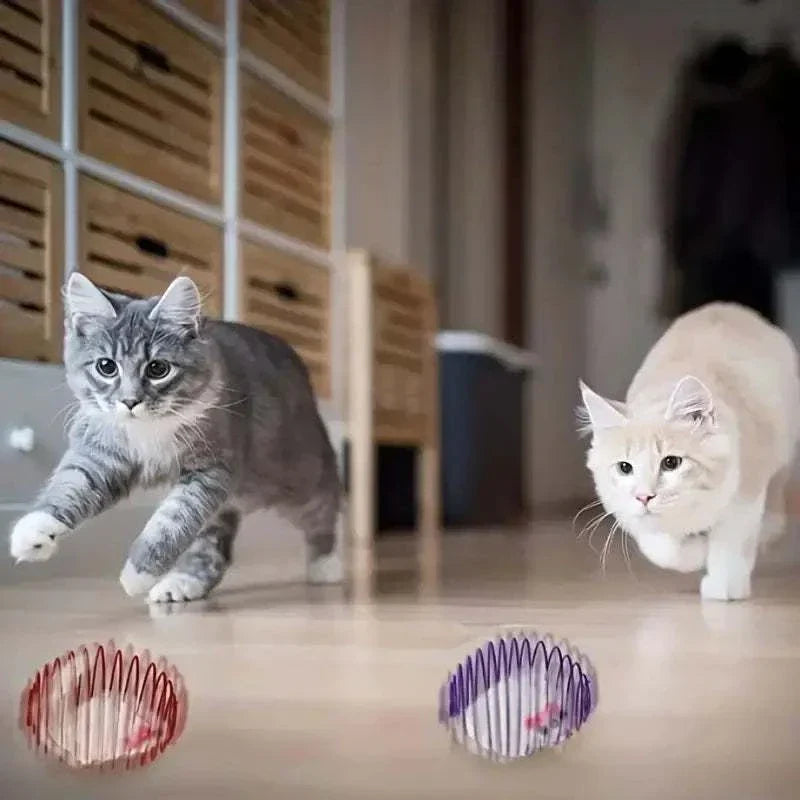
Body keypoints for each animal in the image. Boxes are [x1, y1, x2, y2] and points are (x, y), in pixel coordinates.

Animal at [9, 272, 342, 604]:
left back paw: (327, 563)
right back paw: (183, 583)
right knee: (212, 551)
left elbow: (172, 521)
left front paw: (139, 572)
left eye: (158, 368)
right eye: (106, 366)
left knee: (325, 504)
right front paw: (34, 530)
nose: (130, 401)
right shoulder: (102, 453)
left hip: (295, 477)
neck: (149, 430)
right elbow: (71, 484)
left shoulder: (210, 471)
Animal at [580, 302, 800, 600]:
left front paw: (724, 585)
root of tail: (726, 307)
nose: (644, 496)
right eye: (625, 467)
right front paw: (696, 551)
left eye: (671, 463)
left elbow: (730, 543)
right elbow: (664, 548)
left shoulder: (745, 492)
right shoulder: (628, 512)